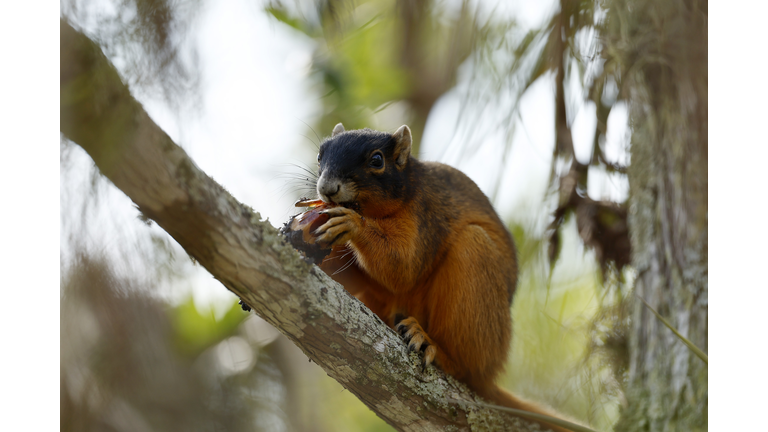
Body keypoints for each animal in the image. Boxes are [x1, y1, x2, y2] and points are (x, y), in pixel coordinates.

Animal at [306, 123, 568, 430]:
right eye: (320, 156)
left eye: (377, 160)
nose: (327, 189)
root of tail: (488, 376)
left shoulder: (426, 216)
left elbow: (402, 267)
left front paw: (352, 224)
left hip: (476, 273)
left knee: (463, 366)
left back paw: (432, 345)